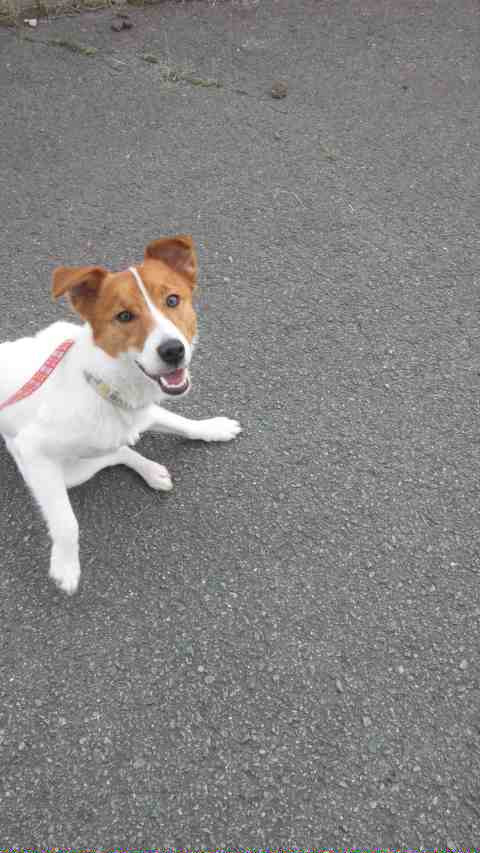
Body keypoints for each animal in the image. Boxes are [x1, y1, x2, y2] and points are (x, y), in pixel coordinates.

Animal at [0, 235, 241, 594]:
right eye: (124, 316)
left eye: (173, 299)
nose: (173, 350)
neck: (102, 382)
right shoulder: (35, 451)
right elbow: (66, 521)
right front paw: (66, 565)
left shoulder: (141, 411)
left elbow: (181, 423)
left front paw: (211, 428)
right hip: (50, 470)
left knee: (118, 449)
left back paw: (150, 469)